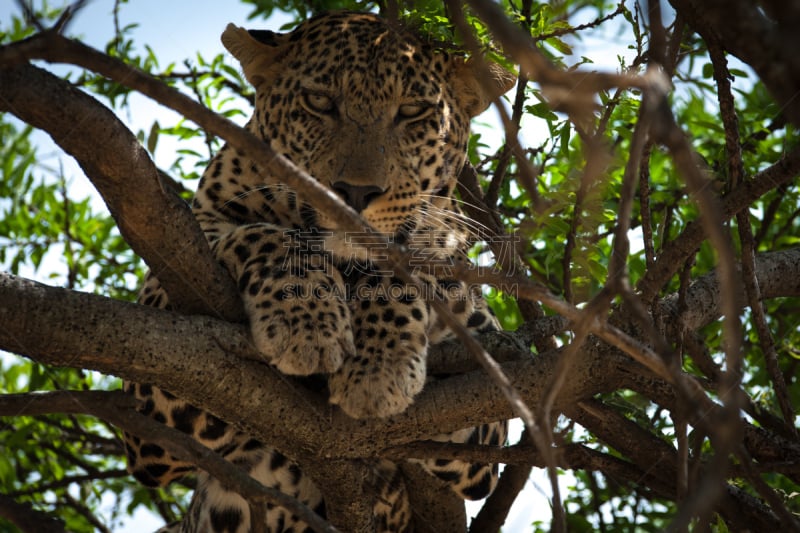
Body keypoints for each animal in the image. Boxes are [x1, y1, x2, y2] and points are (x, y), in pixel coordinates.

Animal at [122, 9, 516, 532]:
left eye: (412, 112)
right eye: (319, 102)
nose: (355, 192)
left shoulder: (486, 414)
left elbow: (408, 270)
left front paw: (379, 369)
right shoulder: (153, 400)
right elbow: (266, 234)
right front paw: (307, 327)